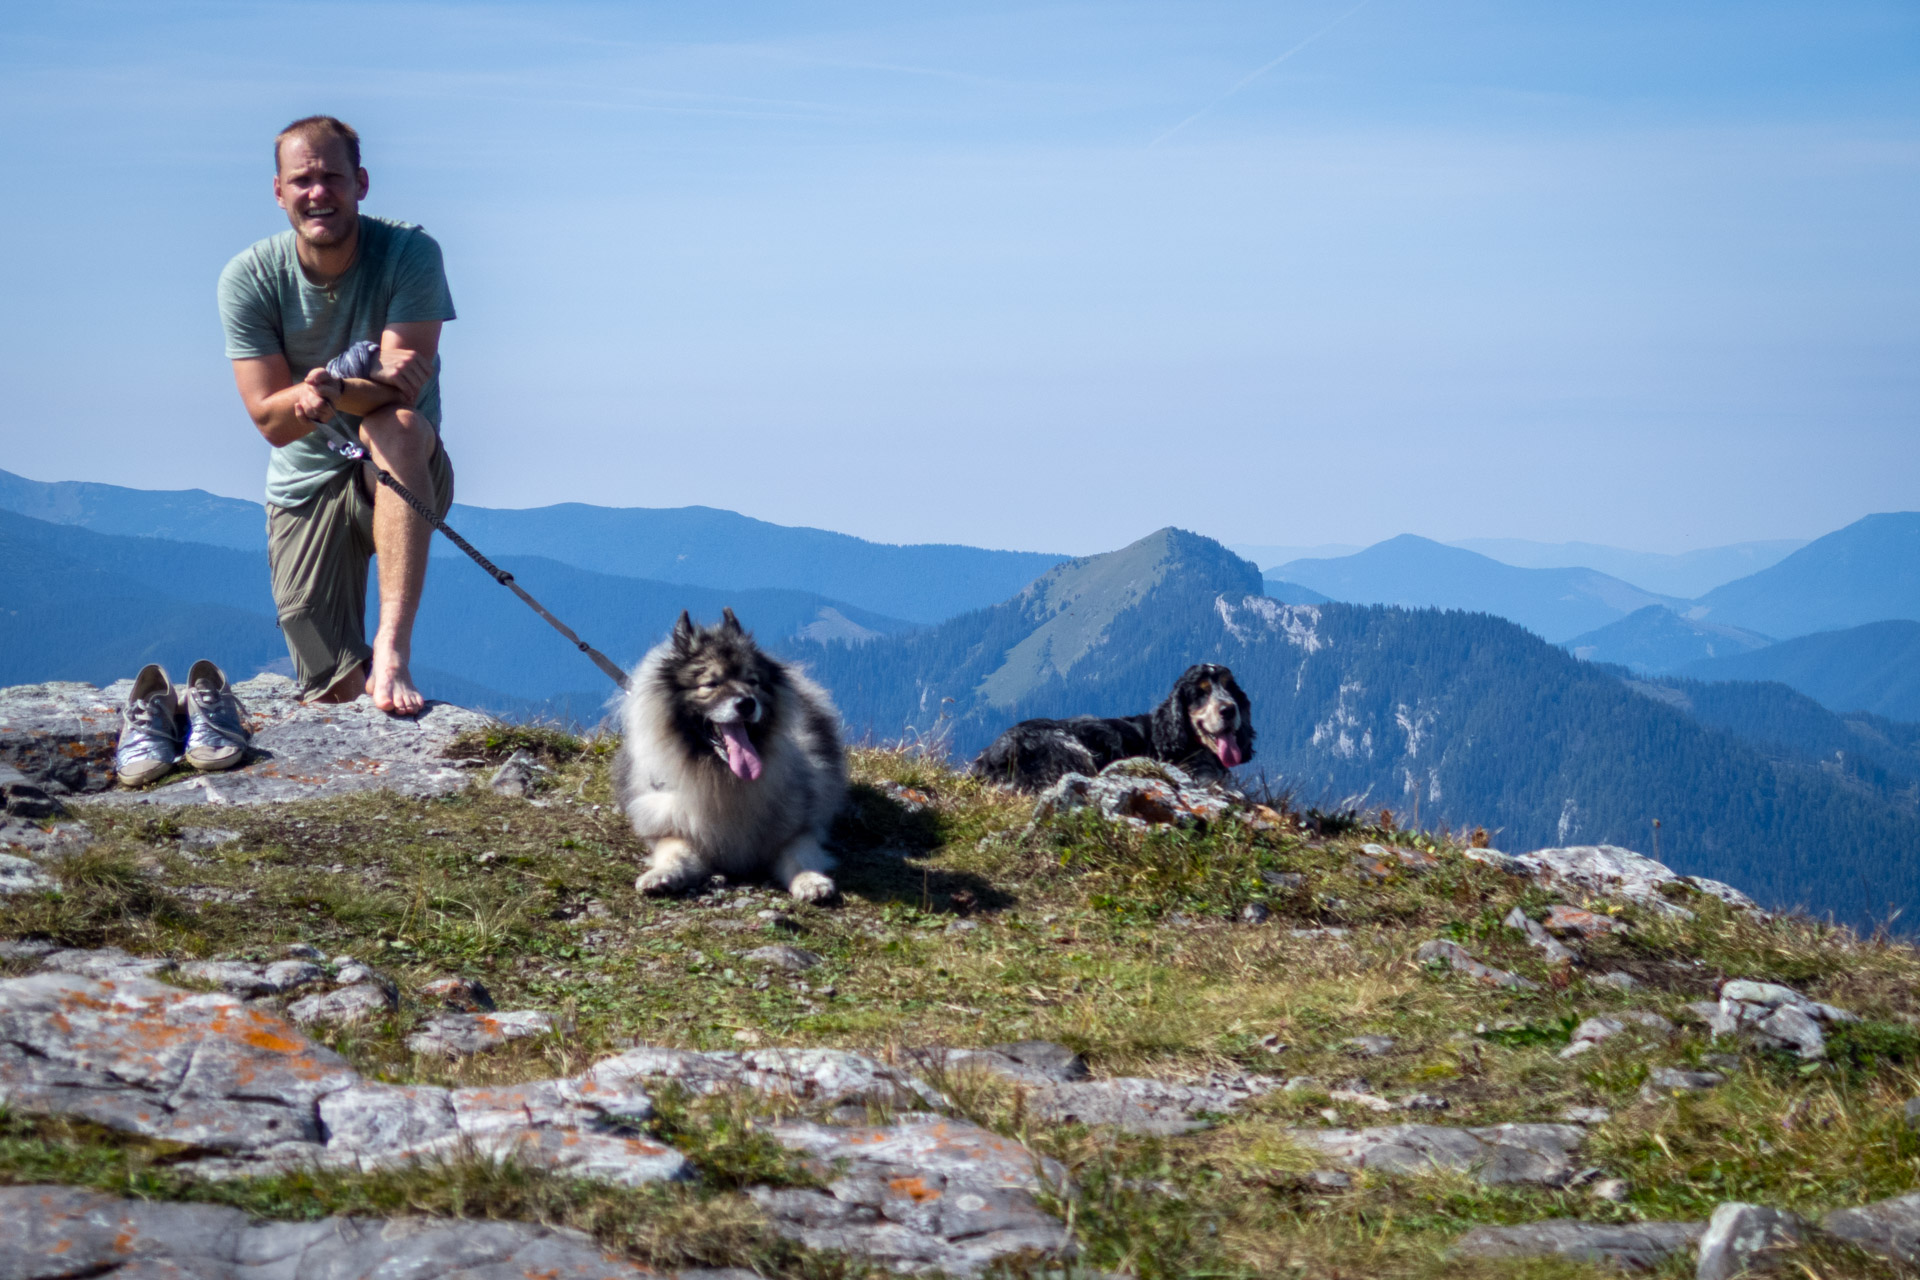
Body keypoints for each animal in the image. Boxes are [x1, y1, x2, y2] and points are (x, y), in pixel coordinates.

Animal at [614, 610, 848, 901]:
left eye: (753, 682)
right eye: (710, 684)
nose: (747, 703)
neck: (723, 780)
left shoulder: (797, 830)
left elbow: (799, 856)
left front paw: (811, 880)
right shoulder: (675, 826)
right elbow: (675, 852)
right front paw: (661, 875)